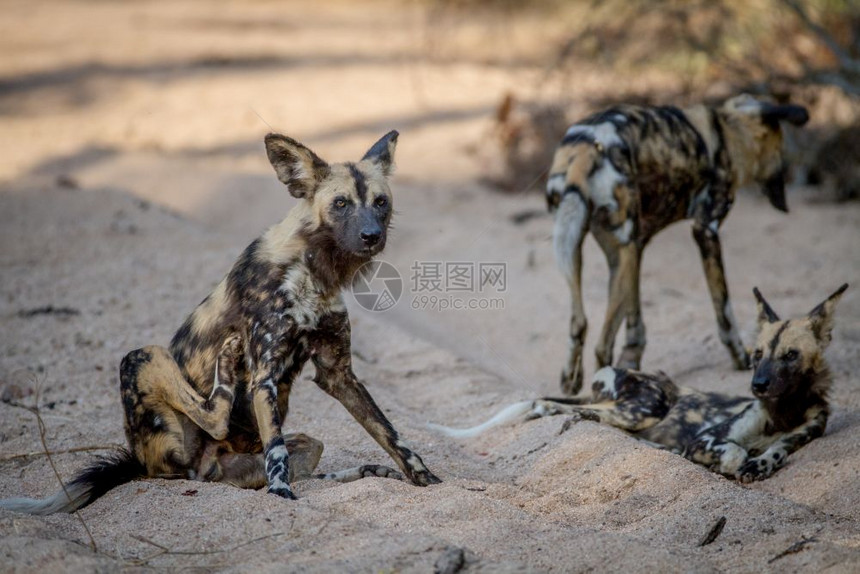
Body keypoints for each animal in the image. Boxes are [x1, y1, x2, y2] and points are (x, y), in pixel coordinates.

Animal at [0, 132, 440, 516]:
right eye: (341, 203)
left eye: (381, 202)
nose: (372, 236)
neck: (314, 273)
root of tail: (145, 465)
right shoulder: (264, 376)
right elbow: (277, 454)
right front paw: (284, 497)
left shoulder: (339, 375)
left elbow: (391, 434)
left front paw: (427, 481)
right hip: (144, 359)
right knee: (214, 420)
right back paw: (226, 371)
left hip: (273, 450)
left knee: (290, 463)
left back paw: (361, 472)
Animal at [430, 286, 848, 484]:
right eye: (756, 352)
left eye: (790, 355)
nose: (758, 384)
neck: (783, 412)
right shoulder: (708, 438)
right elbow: (732, 452)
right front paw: (714, 462)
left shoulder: (798, 436)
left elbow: (773, 454)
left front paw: (760, 462)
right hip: (646, 407)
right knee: (555, 408)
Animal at [548, 95, 808, 400]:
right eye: (782, 153)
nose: (786, 196)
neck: (729, 131)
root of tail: (588, 145)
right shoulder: (705, 231)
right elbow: (724, 312)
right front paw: (741, 358)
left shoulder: (635, 248)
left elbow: (634, 320)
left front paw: (631, 362)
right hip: (621, 248)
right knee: (601, 345)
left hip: (591, 249)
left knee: (579, 322)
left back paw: (573, 380)